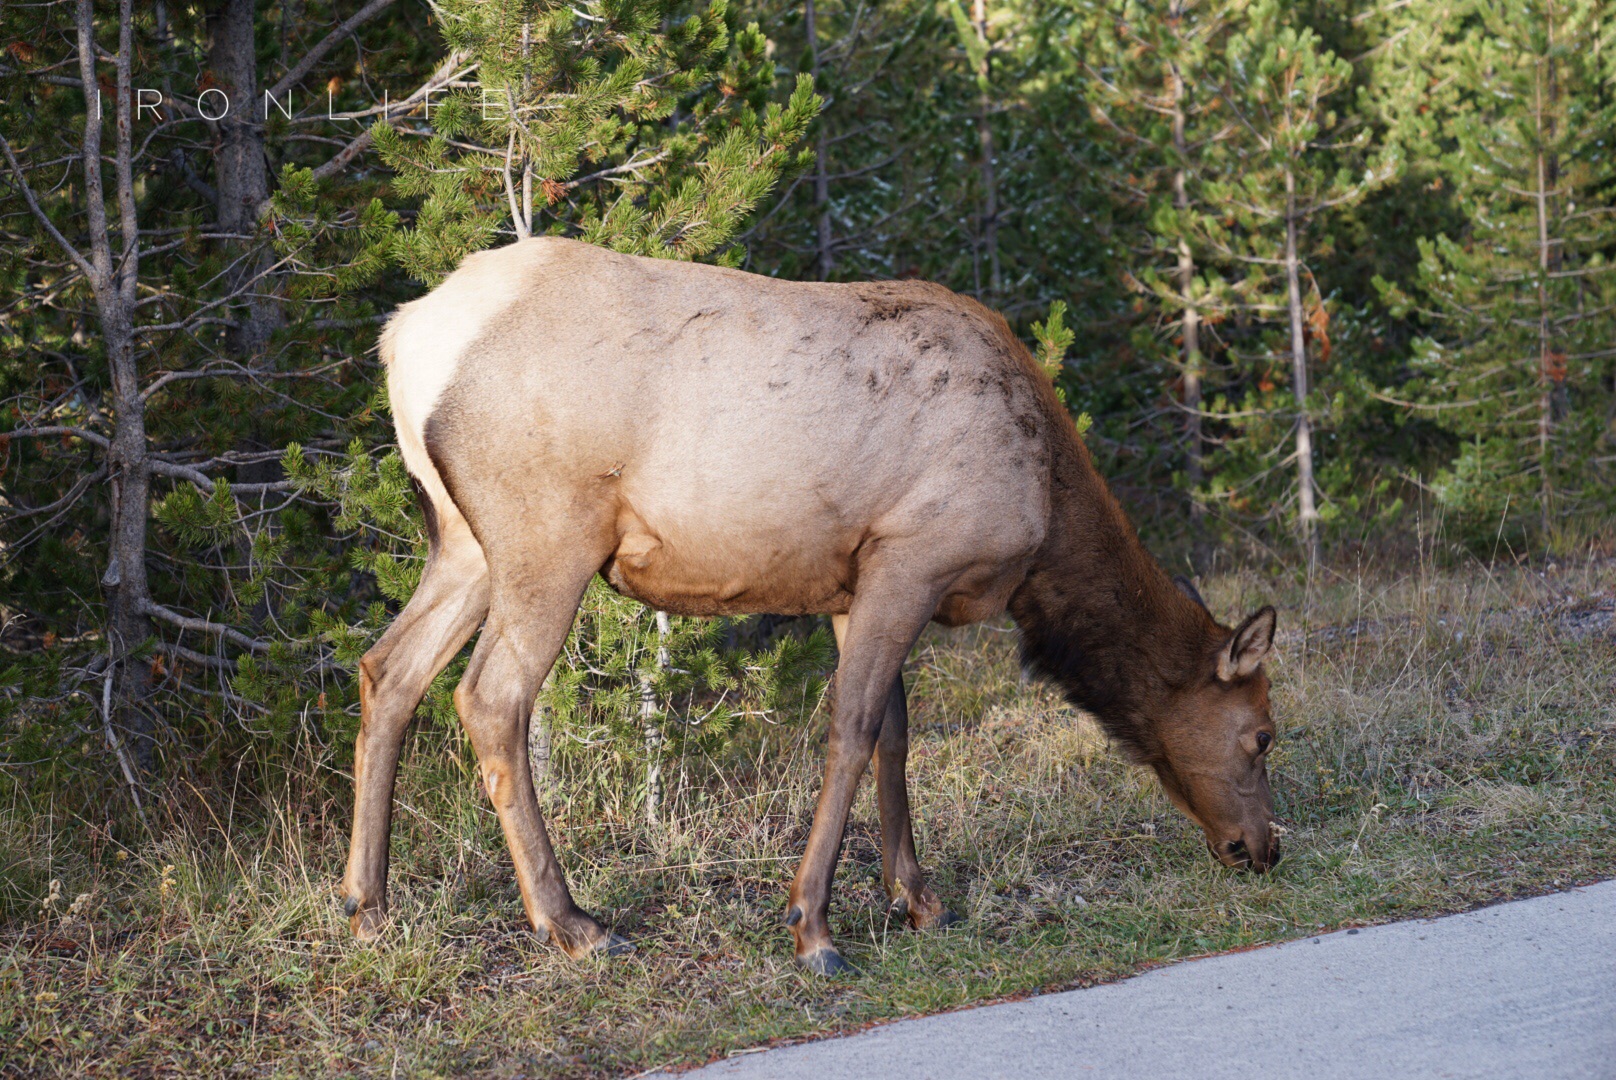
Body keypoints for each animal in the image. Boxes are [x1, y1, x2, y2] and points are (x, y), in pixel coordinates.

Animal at [347, 237, 1279, 976]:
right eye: (1263, 733)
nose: (1263, 848)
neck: (1045, 521)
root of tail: (403, 341)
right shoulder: (914, 555)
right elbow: (855, 726)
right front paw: (814, 928)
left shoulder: (855, 576)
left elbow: (896, 732)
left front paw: (918, 899)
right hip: (548, 532)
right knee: (489, 697)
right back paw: (571, 922)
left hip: (464, 540)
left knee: (388, 669)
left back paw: (368, 904)